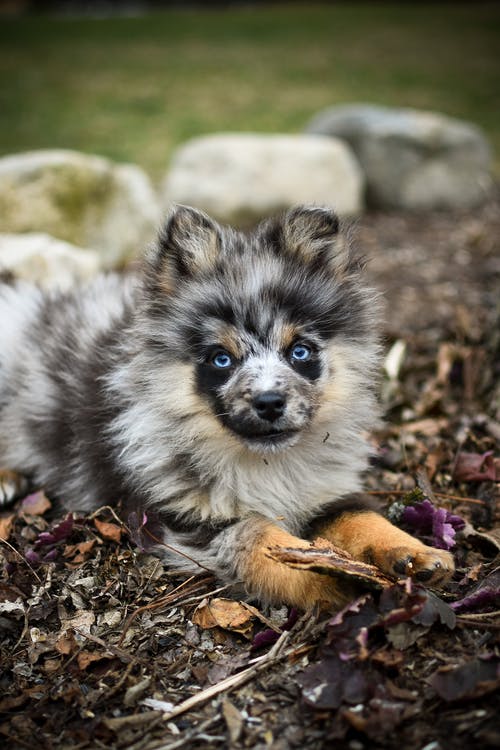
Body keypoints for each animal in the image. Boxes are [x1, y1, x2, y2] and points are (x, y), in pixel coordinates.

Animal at [0, 206, 454, 612]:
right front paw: (331, 576)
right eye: (221, 359)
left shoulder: (325, 489)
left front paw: (414, 553)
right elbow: (261, 540)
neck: (266, 464)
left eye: (299, 351)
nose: (269, 401)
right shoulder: (189, 517)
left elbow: (361, 518)